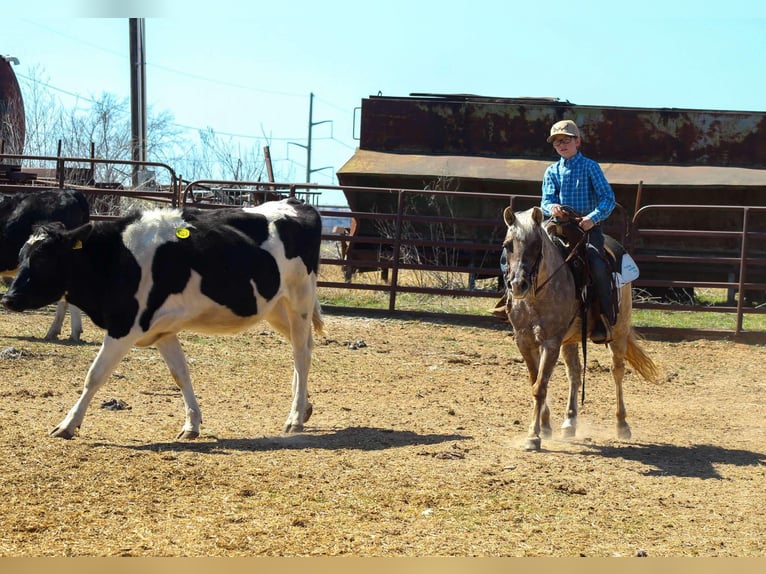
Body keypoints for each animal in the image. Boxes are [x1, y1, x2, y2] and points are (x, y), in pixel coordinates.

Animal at [501, 206, 659, 451]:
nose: (518, 285)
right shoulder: (524, 342)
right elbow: (536, 381)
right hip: (572, 339)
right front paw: (545, 427)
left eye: (536, 245)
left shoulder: (551, 342)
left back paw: (622, 425)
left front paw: (533, 436)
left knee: (617, 372)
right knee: (575, 373)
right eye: (508, 245)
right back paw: (569, 422)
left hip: (619, 333)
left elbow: (540, 387)